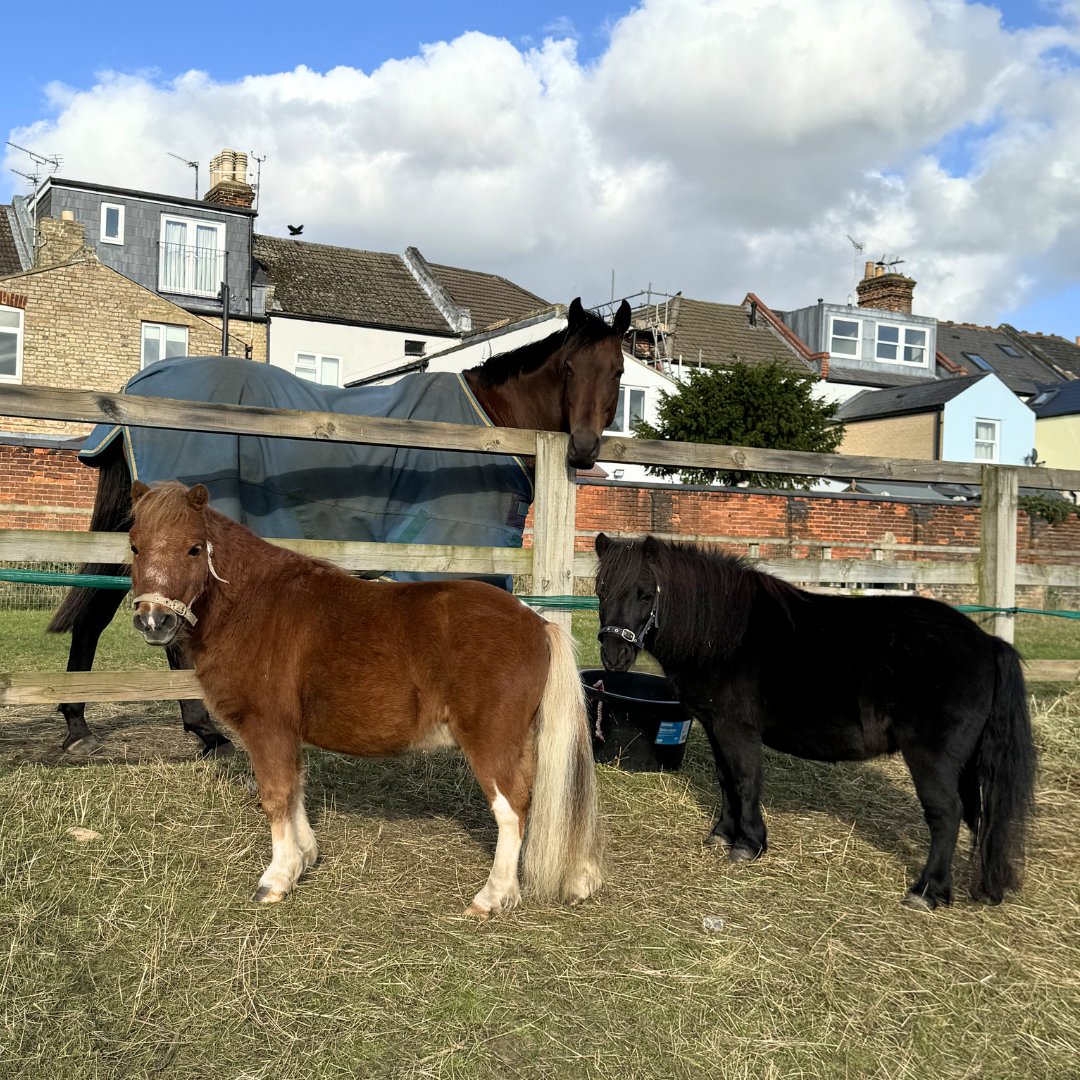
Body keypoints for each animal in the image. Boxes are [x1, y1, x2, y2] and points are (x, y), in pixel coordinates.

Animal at [48, 298, 631, 756]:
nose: (583, 449)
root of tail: (134, 388)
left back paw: (94, 723)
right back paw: (173, 730)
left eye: (618, 372)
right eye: (570, 368)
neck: (489, 430)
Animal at [127, 480, 603, 914]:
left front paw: (277, 878)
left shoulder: (267, 727)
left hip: (491, 742)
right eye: (134, 546)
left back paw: (492, 896)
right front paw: (304, 858)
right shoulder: (287, 732)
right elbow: (296, 789)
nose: (154, 621)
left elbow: (276, 795)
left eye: (194, 549)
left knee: (512, 809)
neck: (253, 604)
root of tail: (536, 622)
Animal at [593, 533, 1037, 910]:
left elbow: (745, 781)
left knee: (946, 814)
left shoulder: (737, 730)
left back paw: (927, 891)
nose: (614, 656)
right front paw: (722, 834)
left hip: (933, 759)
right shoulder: (716, 727)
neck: (724, 633)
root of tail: (988, 643)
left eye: (645, 593)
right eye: (600, 590)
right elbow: (725, 781)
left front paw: (748, 844)